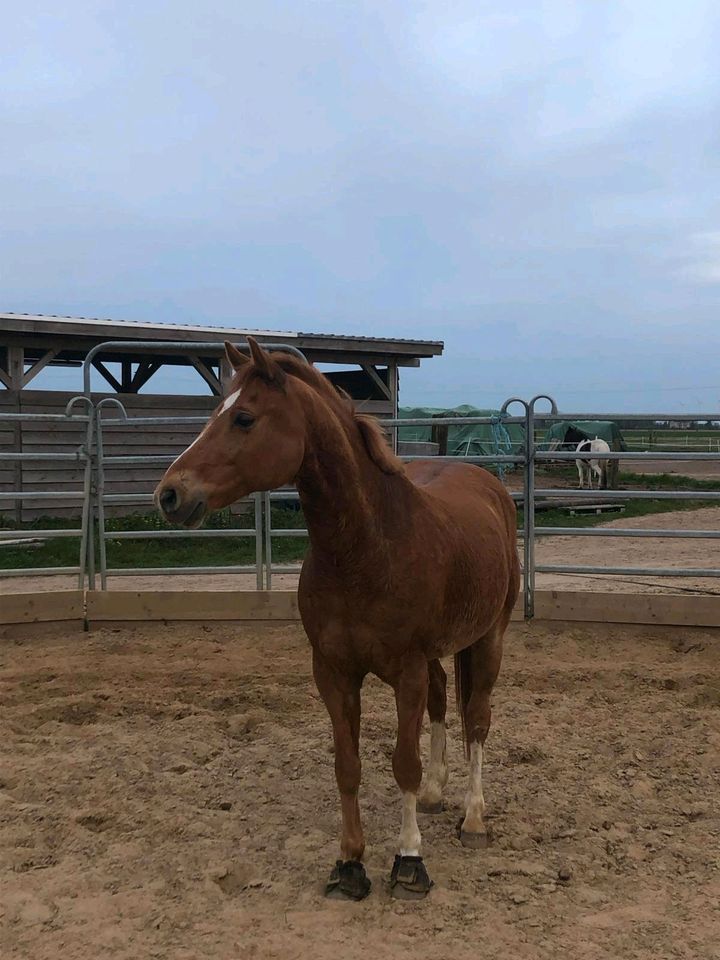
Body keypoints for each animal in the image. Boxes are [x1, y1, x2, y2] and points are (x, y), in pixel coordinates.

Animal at [156, 338, 516, 900]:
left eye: (243, 417)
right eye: (214, 412)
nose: (170, 494)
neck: (366, 549)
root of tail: (488, 482)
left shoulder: (405, 672)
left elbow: (403, 764)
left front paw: (409, 861)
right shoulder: (333, 672)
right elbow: (347, 766)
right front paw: (350, 863)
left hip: (489, 638)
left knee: (477, 719)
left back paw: (474, 819)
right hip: (438, 655)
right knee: (442, 701)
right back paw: (437, 795)